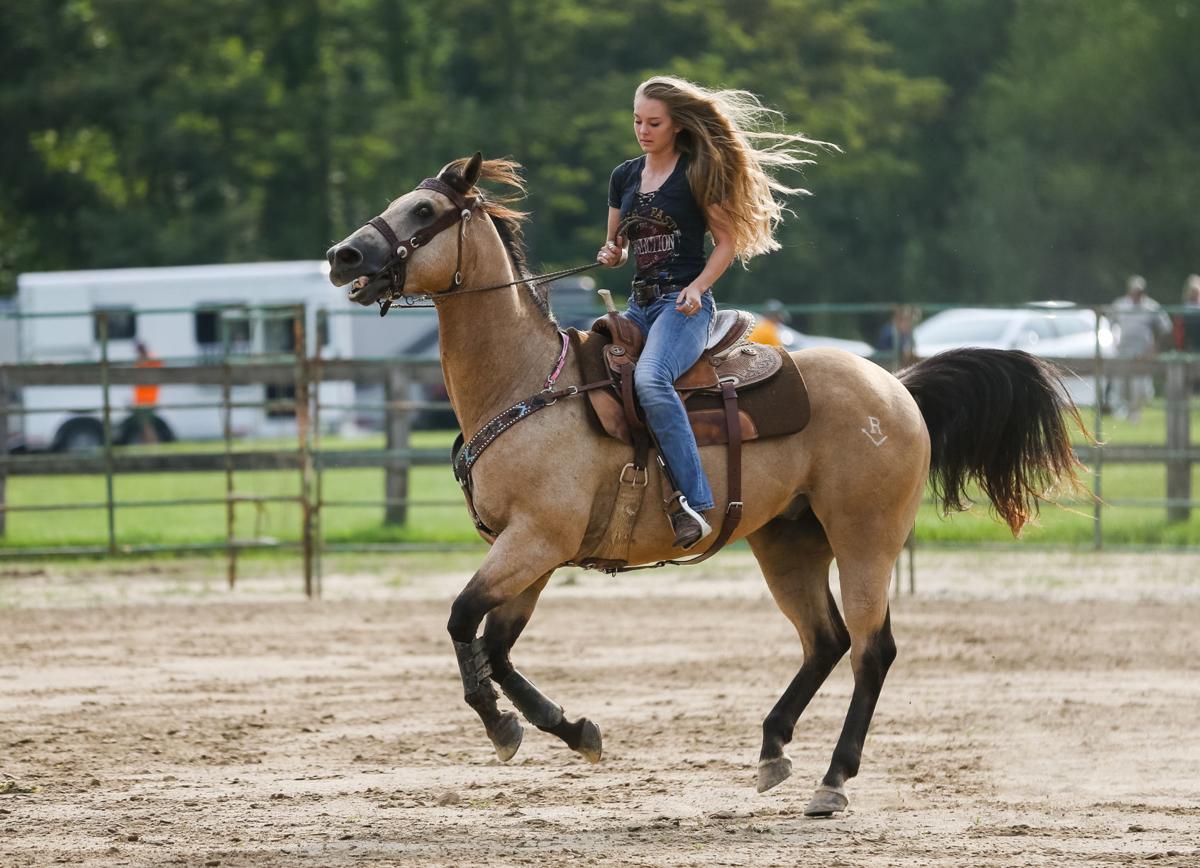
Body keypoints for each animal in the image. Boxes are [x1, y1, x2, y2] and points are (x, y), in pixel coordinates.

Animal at [326, 153, 1086, 816]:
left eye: (424, 210)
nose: (343, 257)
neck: (525, 383)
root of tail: (895, 386)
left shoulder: (535, 541)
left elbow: (463, 621)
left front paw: (501, 728)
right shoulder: (531, 552)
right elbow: (499, 648)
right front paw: (573, 730)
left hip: (865, 538)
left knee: (873, 649)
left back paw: (833, 780)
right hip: (787, 542)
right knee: (826, 640)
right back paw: (773, 749)